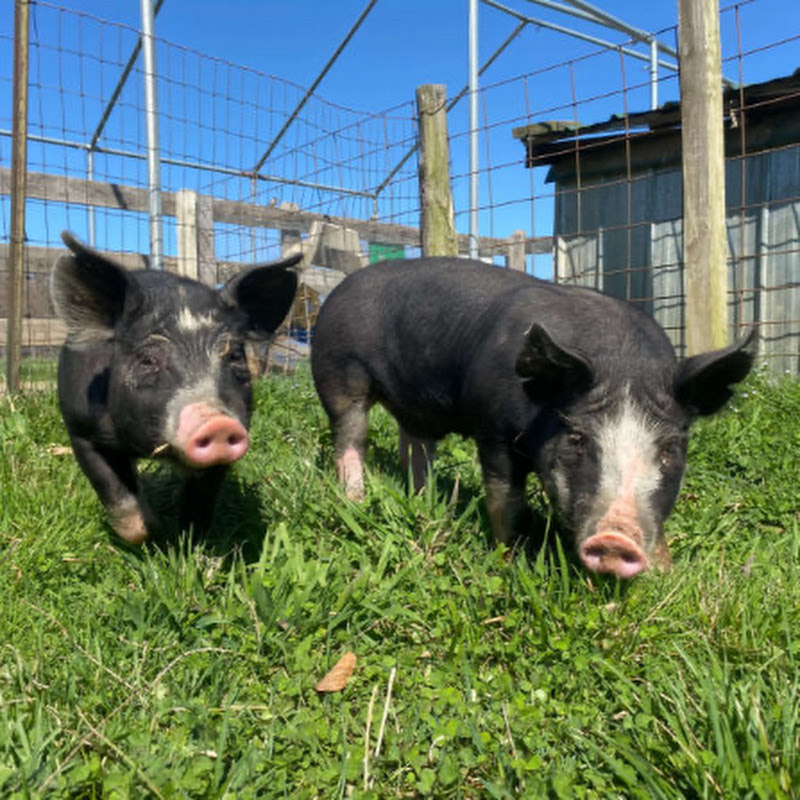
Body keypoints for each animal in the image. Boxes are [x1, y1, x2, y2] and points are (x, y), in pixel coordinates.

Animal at [51, 231, 299, 544]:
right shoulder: (80, 429)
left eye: (235, 356)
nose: (217, 421)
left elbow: (199, 507)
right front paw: (154, 532)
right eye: (147, 360)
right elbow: (120, 501)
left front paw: (187, 542)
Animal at [310, 257, 754, 578]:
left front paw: (666, 573)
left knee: (415, 444)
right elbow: (505, 498)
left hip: (413, 406)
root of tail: (339, 289)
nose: (616, 538)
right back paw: (355, 500)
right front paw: (511, 562)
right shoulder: (492, 429)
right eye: (577, 439)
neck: (621, 362)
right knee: (350, 439)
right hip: (337, 373)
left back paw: (426, 499)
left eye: (670, 448)